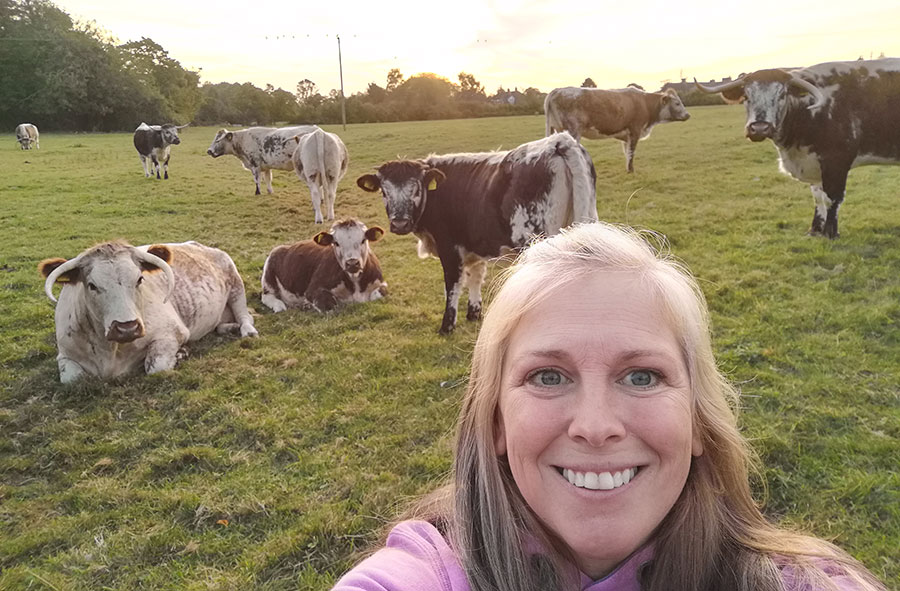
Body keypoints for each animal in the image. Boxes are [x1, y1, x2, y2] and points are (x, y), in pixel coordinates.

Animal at [38, 240, 256, 384]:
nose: (127, 328)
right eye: (92, 285)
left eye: (139, 279)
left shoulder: (173, 332)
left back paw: (247, 330)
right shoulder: (65, 355)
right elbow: (73, 379)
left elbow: (155, 366)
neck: (110, 352)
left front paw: (181, 353)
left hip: (236, 285)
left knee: (245, 315)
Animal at [356, 131, 596, 332]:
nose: (399, 224)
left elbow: (453, 284)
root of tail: (557, 141)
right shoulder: (474, 243)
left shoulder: (449, 247)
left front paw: (447, 325)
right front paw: (474, 313)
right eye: (384, 191)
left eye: (416, 189)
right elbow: (476, 275)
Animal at [540, 85, 688, 173]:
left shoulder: (626, 136)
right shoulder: (635, 131)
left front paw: (628, 169)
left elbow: (627, 152)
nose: (688, 115)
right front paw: (631, 170)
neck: (645, 104)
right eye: (677, 103)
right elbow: (631, 152)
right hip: (572, 131)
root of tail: (556, 90)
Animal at [696, 57, 900, 238]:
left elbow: (832, 197)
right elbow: (818, 196)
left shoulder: (836, 160)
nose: (759, 128)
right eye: (746, 96)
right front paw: (815, 230)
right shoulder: (814, 162)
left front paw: (830, 233)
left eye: (782, 95)